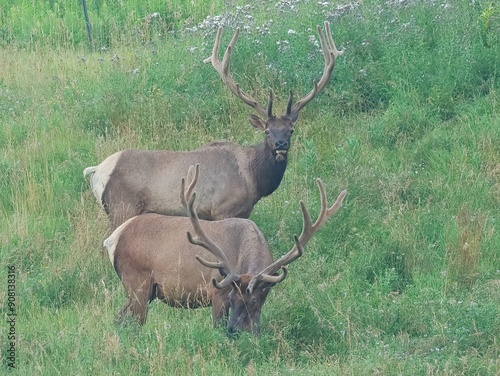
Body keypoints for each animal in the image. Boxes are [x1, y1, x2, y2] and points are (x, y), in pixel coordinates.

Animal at [84, 22, 346, 232]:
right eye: (266, 131)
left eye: (290, 130)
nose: (281, 144)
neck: (254, 180)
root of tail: (97, 171)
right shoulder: (223, 209)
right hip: (122, 207)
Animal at [104, 165, 348, 334]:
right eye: (231, 297)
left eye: (255, 301)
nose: (234, 329)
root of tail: (113, 238)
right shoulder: (217, 293)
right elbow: (216, 326)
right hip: (137, 281)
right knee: (133, 322)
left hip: (147, 290)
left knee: (119, 318)